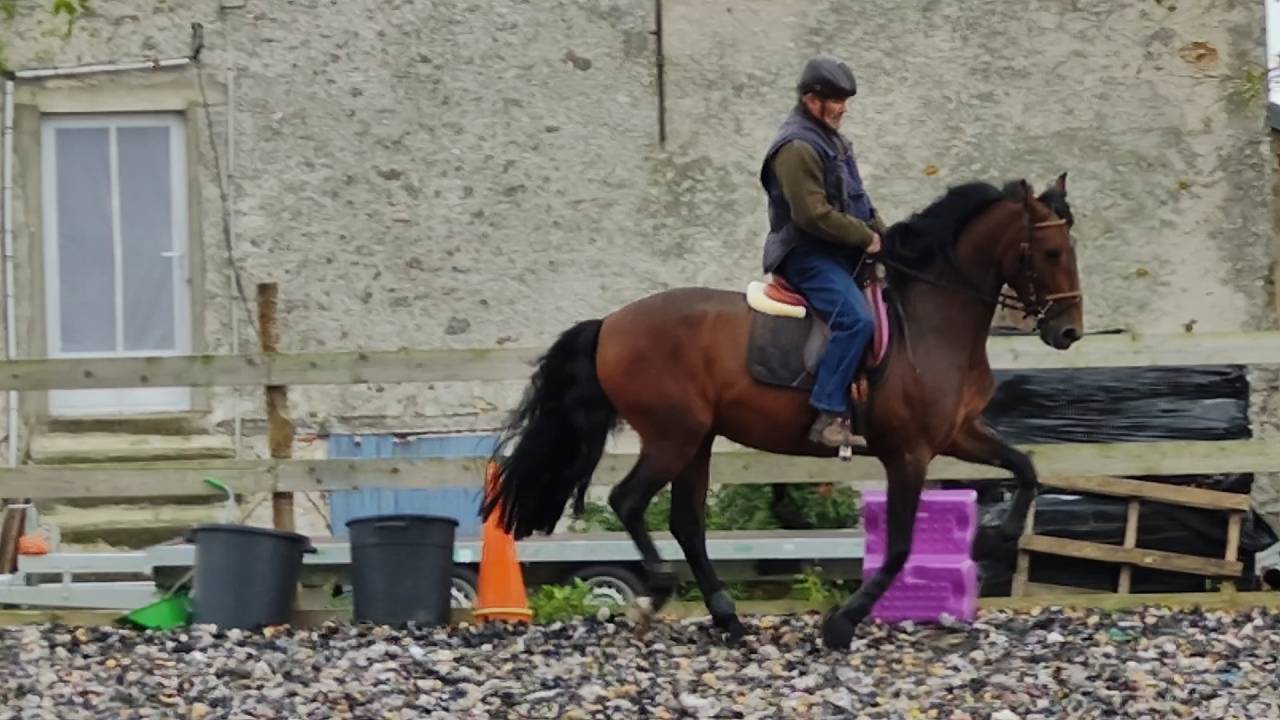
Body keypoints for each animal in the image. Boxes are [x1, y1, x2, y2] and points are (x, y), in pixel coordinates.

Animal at [481, 172, 1083, 650]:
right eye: (1051, 253)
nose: (1068, 332)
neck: (931, 319)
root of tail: (610, 323)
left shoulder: (958, 434)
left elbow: (1026, 467)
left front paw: (1003, 535)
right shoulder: (909, 453)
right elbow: (899, 546)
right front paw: (842, 623)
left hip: (697, 442)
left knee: (686, 524)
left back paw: (727, 619)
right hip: (674, 437)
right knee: (631, 502)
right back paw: (658, 592)